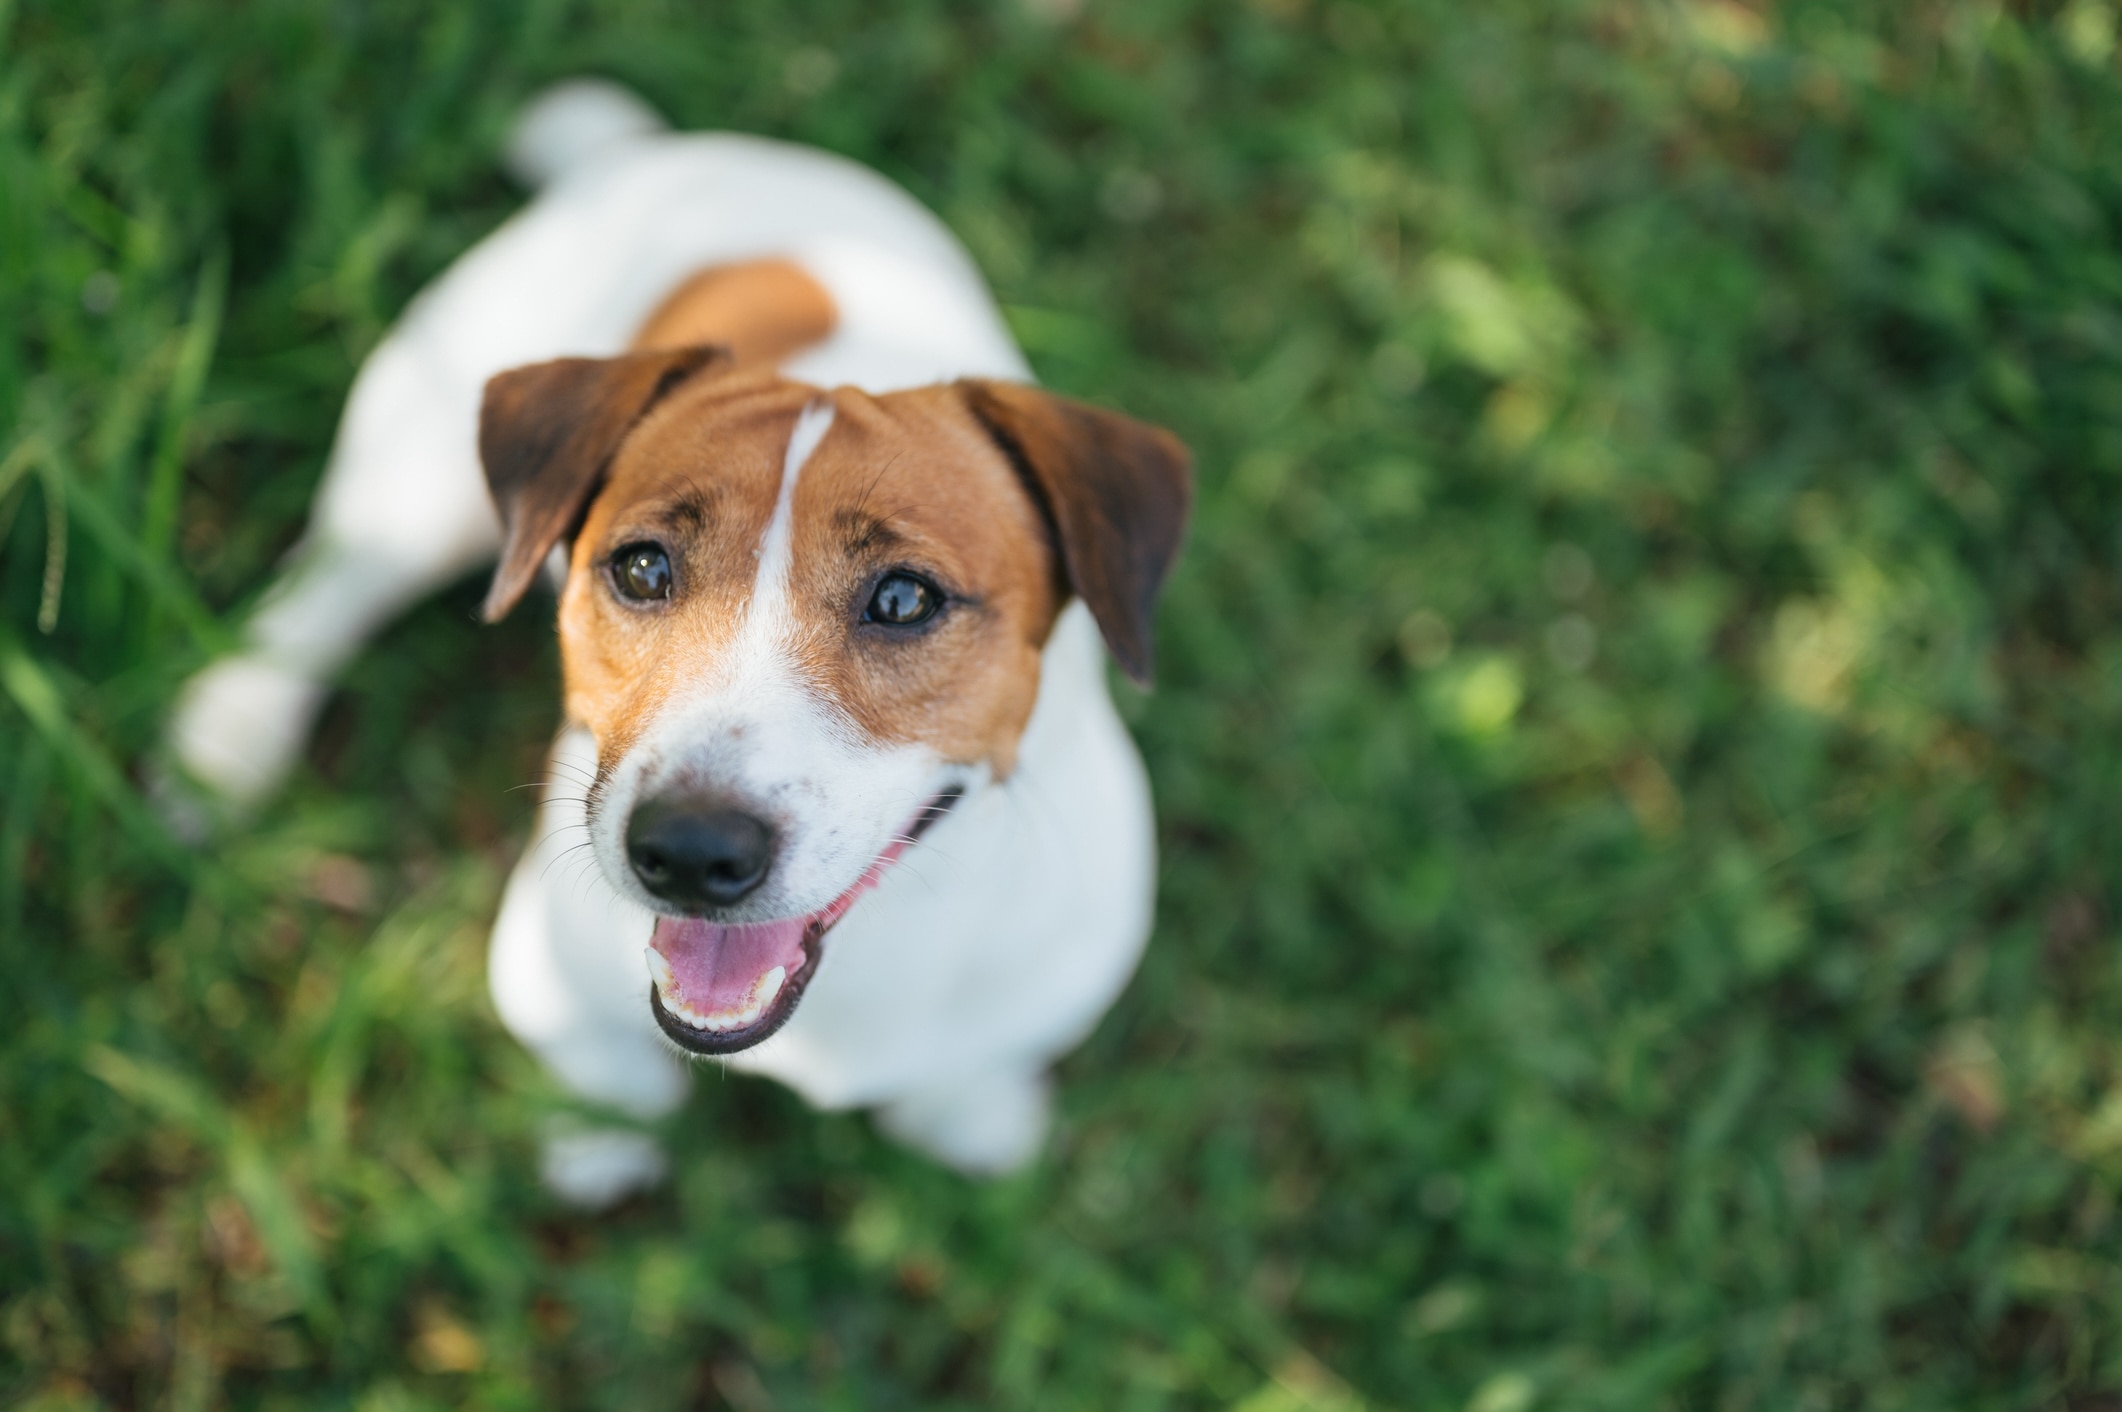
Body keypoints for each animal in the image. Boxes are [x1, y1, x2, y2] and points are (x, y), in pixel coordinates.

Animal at [165, 79, 1196, 1197]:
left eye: (903, 600)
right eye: (642, 569)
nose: (692, 853)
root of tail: (640, 153)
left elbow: (974, 1061)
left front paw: (970, 1112)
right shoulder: (541, 969)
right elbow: (608, 1067)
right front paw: (599, 1136)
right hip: (418, 472)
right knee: (330, 586)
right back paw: (227, 743)